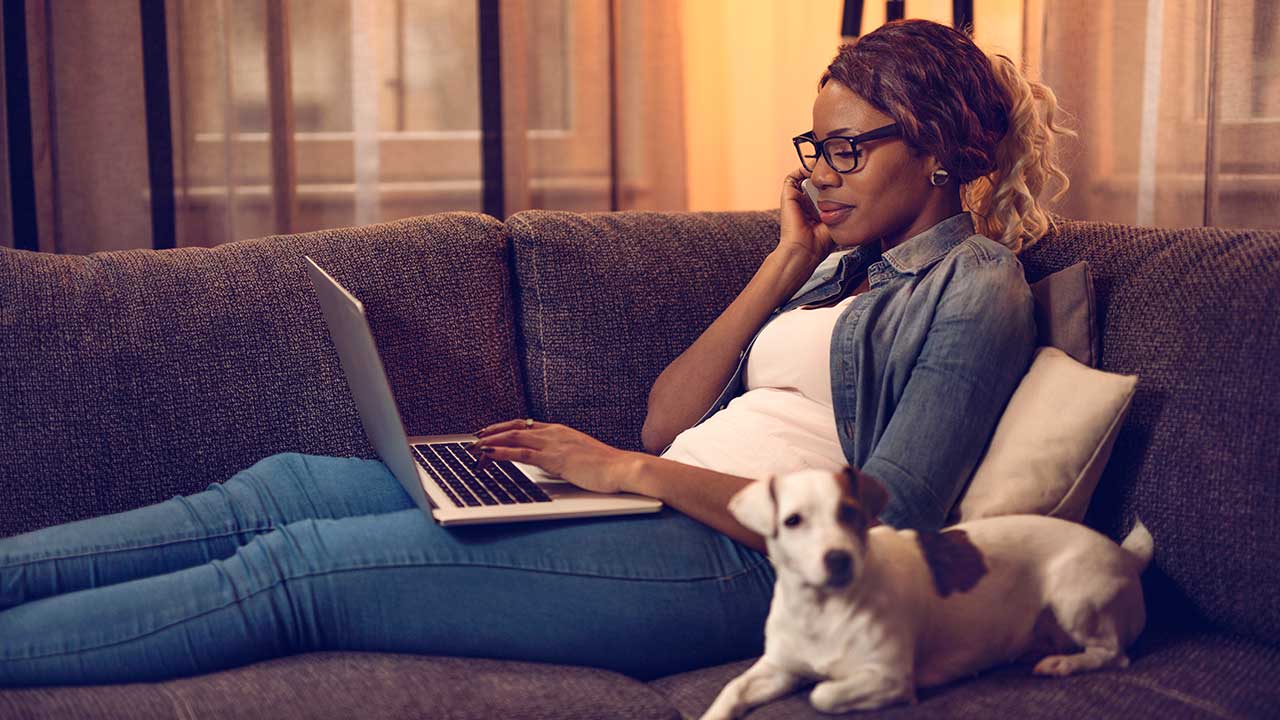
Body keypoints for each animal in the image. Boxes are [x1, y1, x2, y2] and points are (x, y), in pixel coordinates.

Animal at [696, 461, 1157, 712]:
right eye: (792, 521)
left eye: (850, 513)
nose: (839, 559)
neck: (821, 611)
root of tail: (1124, 555)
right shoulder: (778, 668)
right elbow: (731, 688)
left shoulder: (887, 677)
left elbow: (821, 694)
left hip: (1074, 596)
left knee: (1113, 655)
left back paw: (1064, 664)